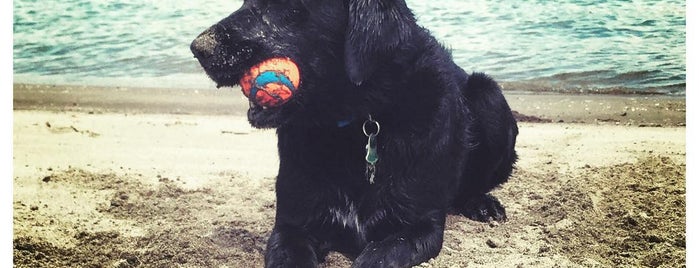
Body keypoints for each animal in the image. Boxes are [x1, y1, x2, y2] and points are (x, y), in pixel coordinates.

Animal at [191, 1, 520, 266]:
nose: (198, 49)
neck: (358, 121)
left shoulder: (417, 227)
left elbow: (375, 257)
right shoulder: (291, 228)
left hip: (488, 95)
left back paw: (482, 204)